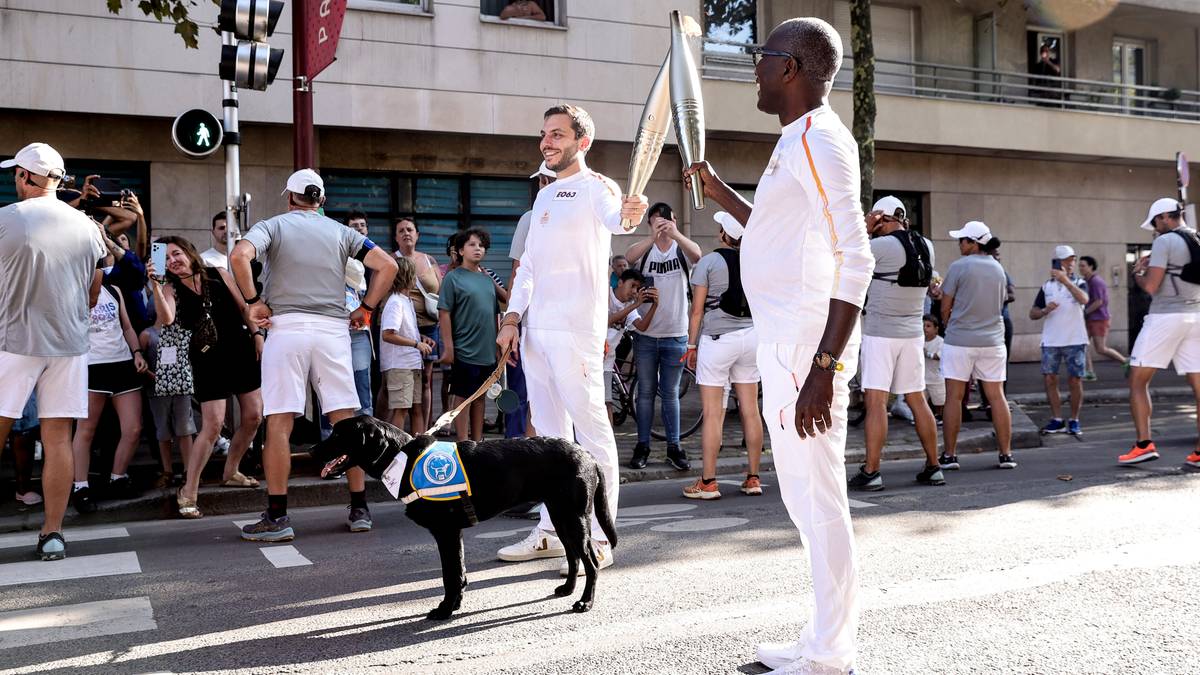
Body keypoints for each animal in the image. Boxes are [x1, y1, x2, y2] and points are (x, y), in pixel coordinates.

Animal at [309, 417, 619, 619]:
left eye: (338, 435)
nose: (311, 451)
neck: (403, 459)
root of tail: (588, 455)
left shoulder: (446, 532)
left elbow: (450, 575)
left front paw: (446, 610)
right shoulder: (452, 534)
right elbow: (458, 572)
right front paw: (454, 605)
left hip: (574, 518)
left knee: (590, 562)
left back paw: (585, 602)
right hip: (560, 517)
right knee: (573, 556)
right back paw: (567, 590)